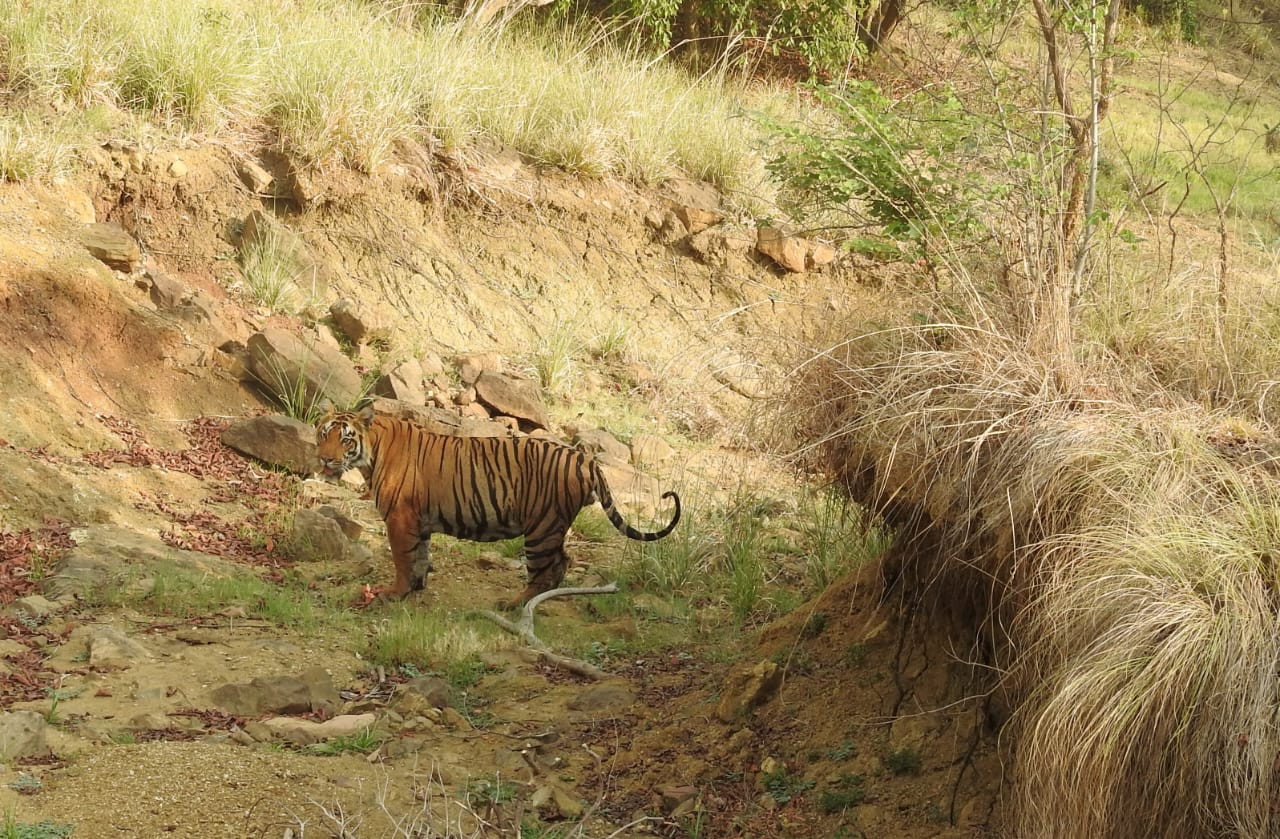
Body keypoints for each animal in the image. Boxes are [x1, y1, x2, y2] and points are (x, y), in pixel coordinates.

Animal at [312, 404, 680, 607]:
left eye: (345, 438)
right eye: (323, 434)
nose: (325, 459)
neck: (371, 450)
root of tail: (584, 458)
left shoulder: (400, 518)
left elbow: (403, 559)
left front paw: (395, 592)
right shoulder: (419, 519)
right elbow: (420, 556)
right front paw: (416, 588)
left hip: (541, 527)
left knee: (546, 569)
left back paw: (515, 604)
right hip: (551, 527)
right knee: (562, 562)